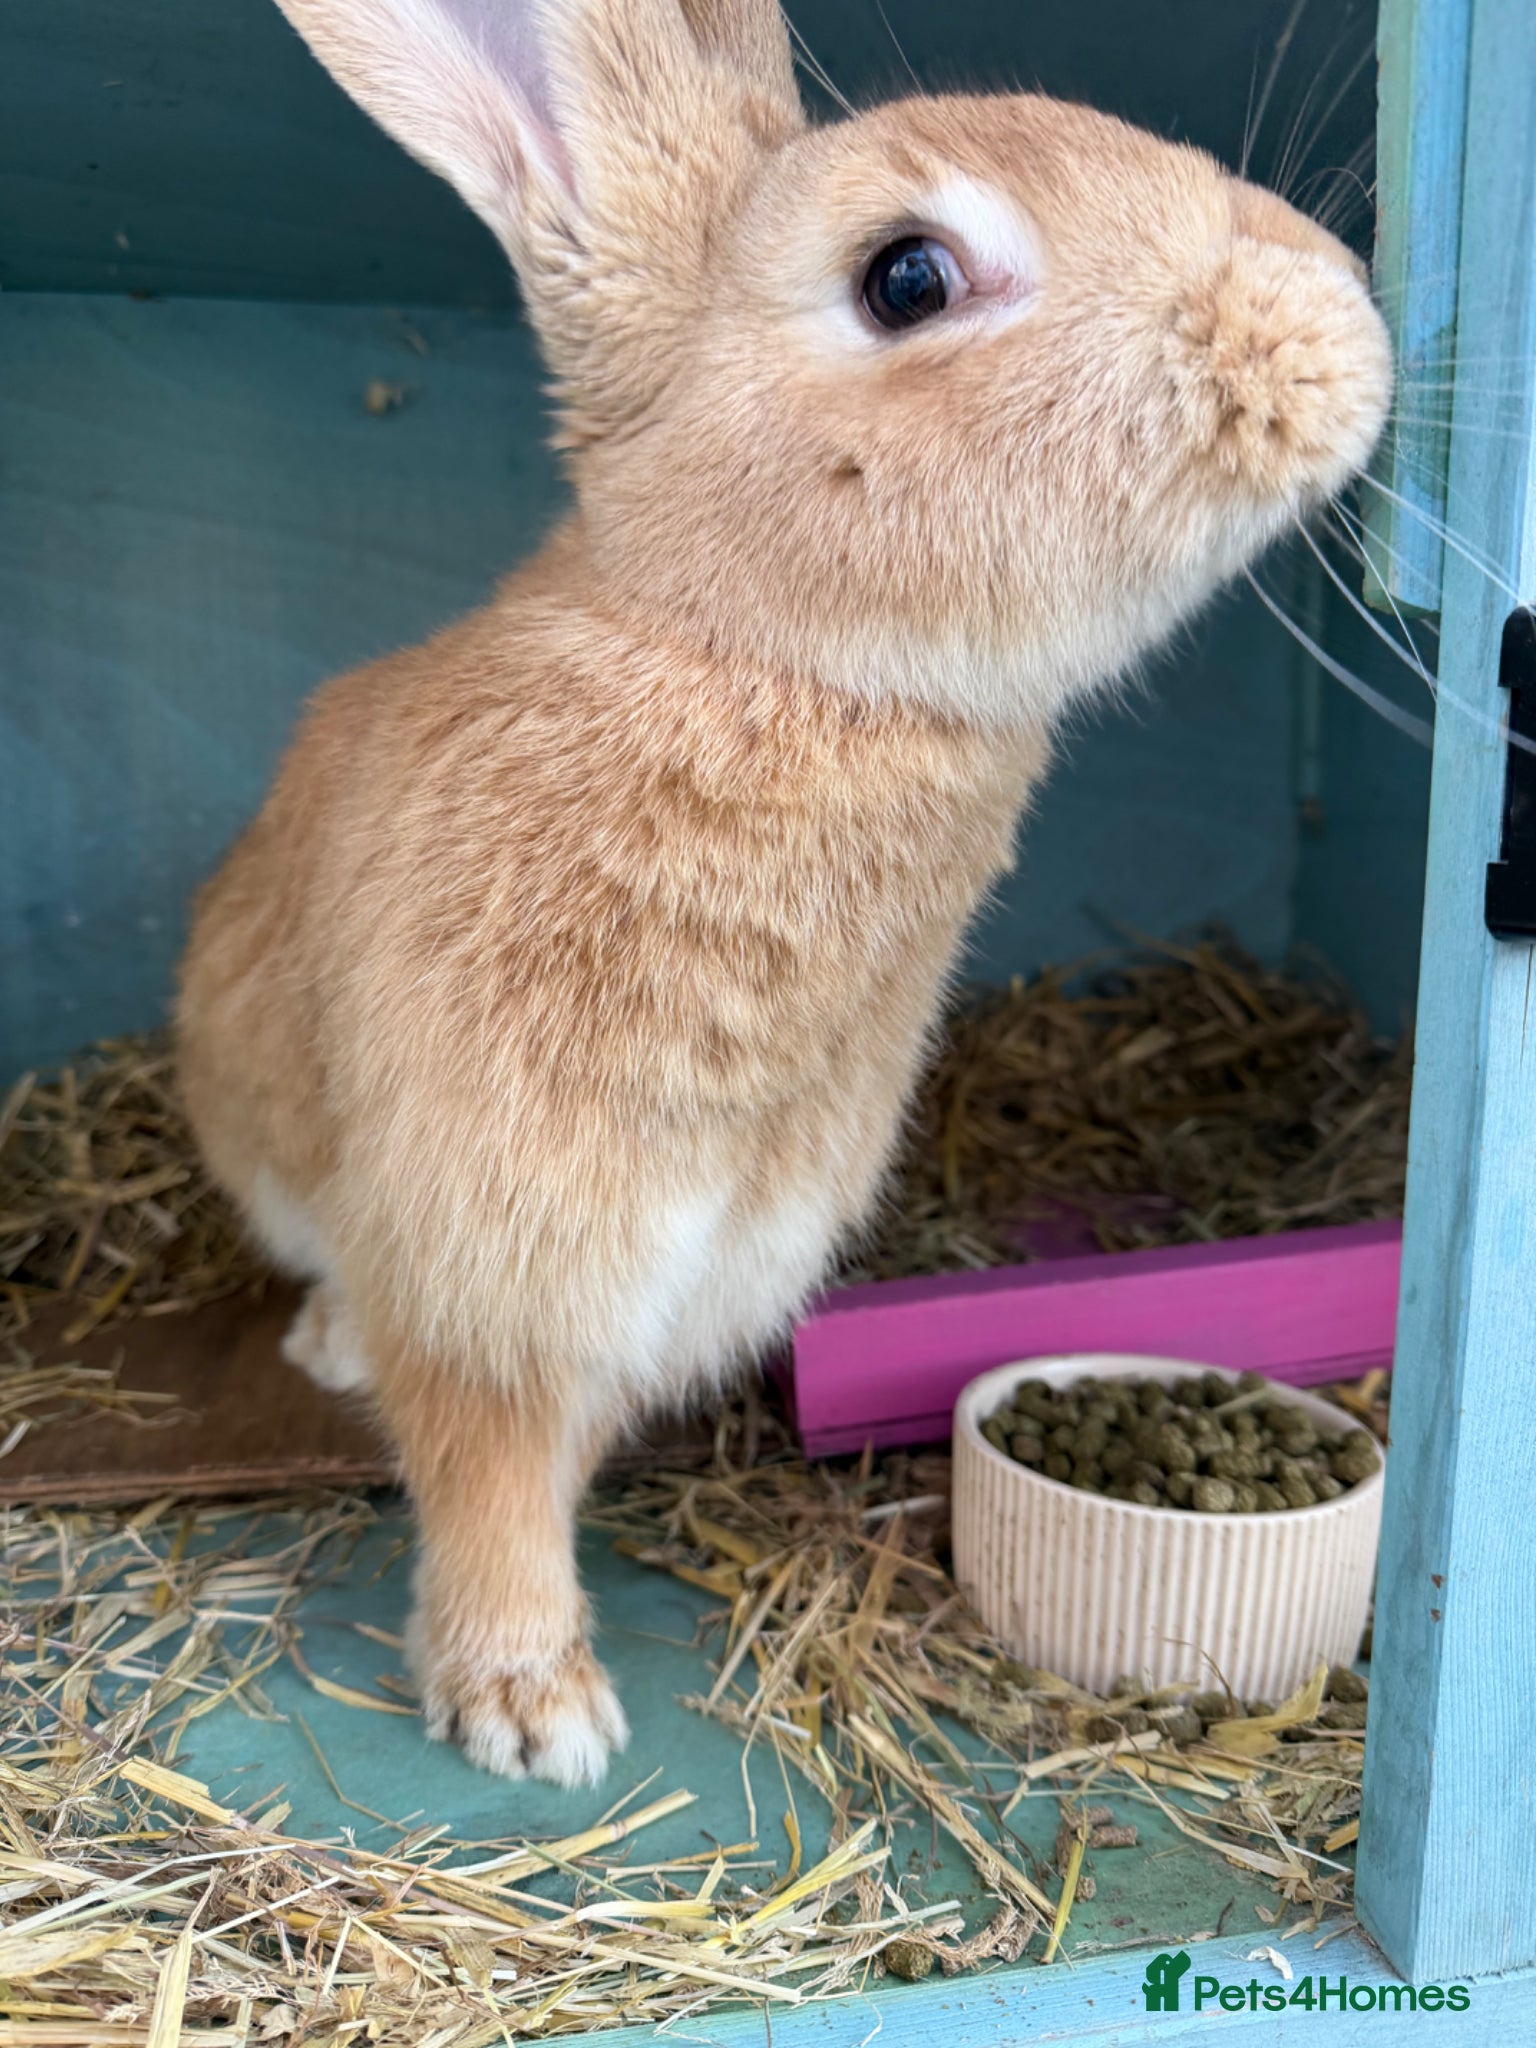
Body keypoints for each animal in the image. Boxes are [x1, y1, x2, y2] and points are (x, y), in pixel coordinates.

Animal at [176, 0, 1391, 1788]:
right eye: (908, 277)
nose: (1354, 314)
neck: (759, 659)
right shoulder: (491, 1250)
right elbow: (486, 1479)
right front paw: (532, 1706)